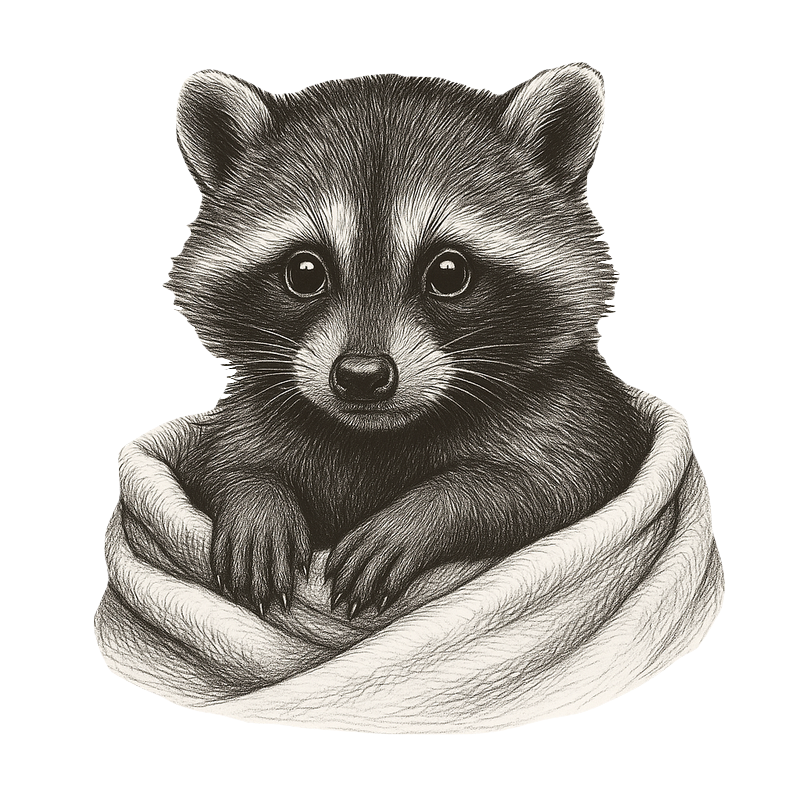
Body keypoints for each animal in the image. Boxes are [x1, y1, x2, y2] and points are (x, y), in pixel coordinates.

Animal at [169, 65, 650, 619]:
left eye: (448, 271)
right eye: (305, 271)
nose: (361, 375)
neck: (375, 437)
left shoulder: (573, 411)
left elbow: (558, 479)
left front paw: (428, 511)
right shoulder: (254, 412)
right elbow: (219, 464)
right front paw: (254, 499)